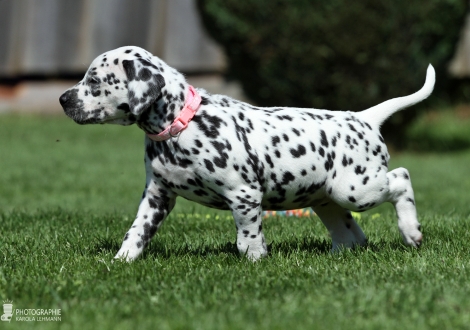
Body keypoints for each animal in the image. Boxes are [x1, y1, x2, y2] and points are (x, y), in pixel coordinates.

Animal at [60, 45, 436, 260]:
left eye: (94, 81)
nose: (63, 99)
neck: (183, 123)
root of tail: (363, 117)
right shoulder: (157, 195)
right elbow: (137, 230)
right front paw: (122, 260)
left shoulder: (243, 195)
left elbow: (247, 235)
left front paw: (255, 260)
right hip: (326, 198)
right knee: (350, 232)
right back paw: (341, 254)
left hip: (356, 189)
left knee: (401, 178)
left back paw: (411, 231)